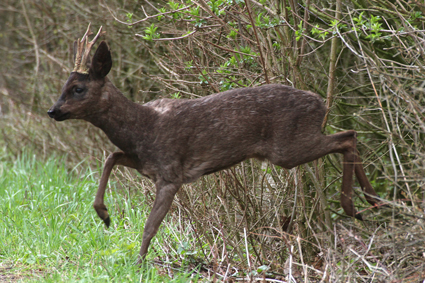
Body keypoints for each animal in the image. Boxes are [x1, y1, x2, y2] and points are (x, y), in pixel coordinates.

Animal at [47, 25, 380, 266]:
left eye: (78, 88)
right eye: (63, 86)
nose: (53, 111)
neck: (142, 129)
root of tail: (322, 104)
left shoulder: (171, 173)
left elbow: (150, 225)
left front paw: (138, 264)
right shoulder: (145, 163)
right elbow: (111, 156)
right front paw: (103, 214)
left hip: (288, 147)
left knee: (348, 136)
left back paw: (357, 204)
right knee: (349, 137)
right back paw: (369, 202)